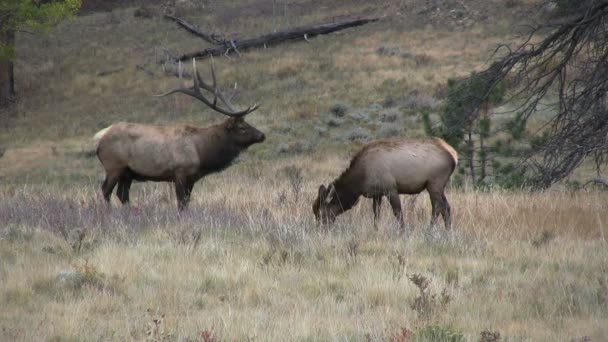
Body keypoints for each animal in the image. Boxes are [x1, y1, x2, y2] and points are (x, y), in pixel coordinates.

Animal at [94, 57, 264, 210]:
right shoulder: (180, 172)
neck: (201, 152)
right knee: (105, 191)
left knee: (122, 195)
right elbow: (181, 203)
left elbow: (186, 202)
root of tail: (99, 138)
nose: (262, 135)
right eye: (242, 127)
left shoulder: (192, 178)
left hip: (127, 172)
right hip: (114, 165)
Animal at [314, 137, 456, 232]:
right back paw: (448, 230)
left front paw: (402, 231)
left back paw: (430, 229)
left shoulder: (390, 189)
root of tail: (454, 156)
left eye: (321, 213)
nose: (319, 229)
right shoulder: (377, 194)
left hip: (434, 183)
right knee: (446, 207)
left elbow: (398, 212)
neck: (361, 178)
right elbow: (376, 214)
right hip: (438, 186)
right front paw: (376, 229)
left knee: (437, 207)